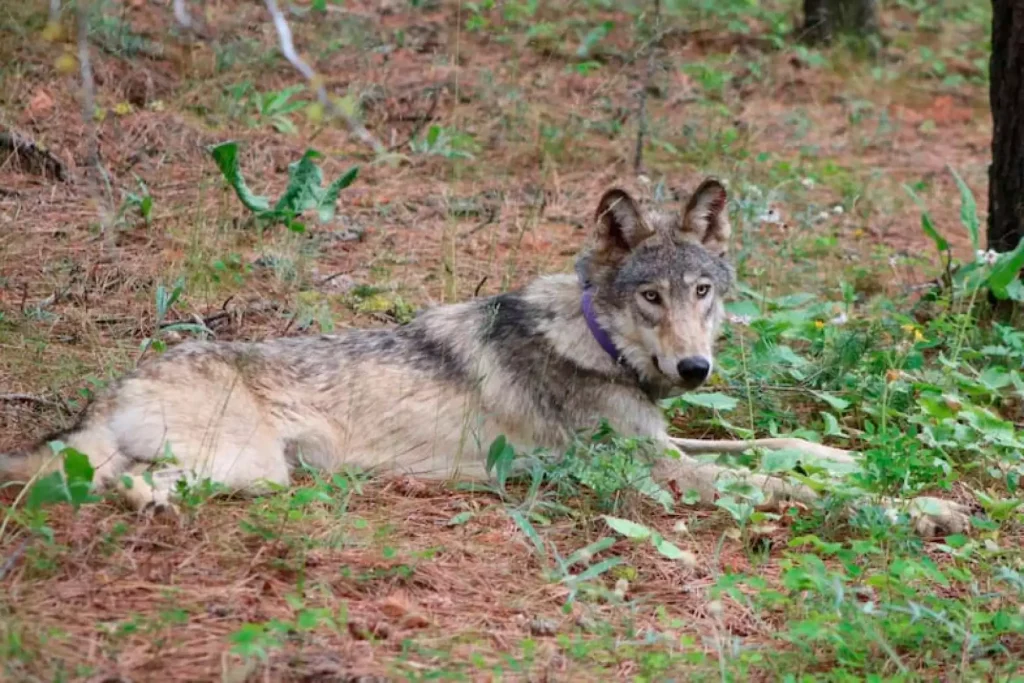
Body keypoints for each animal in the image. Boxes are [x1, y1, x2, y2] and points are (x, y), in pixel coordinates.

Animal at [0, 178, 971, 536]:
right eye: (650, 298)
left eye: (703, 290)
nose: (695, 371)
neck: (595, 340)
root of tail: (118, 382)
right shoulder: (656, 474)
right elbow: (777, 485)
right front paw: (919, 506)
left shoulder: (663, 443)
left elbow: (781, 447)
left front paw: (853, 460)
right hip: (249, 468)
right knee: (111, 483)